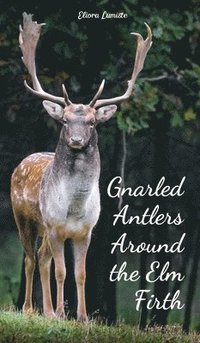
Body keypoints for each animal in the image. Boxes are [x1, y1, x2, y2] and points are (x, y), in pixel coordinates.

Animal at [10, 11, 152, 322]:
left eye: (92, 122)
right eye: (64, 120)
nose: (76, 140)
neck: (74, 207)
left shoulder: (86, 231)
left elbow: (81, 273)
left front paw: (83, 317)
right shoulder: (55, 226)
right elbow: (61, 271)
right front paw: (61, 313)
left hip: (43, 229)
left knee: (41, 258)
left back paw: (46, 310)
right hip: (24, 218)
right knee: (30, 258)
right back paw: (30, 308)